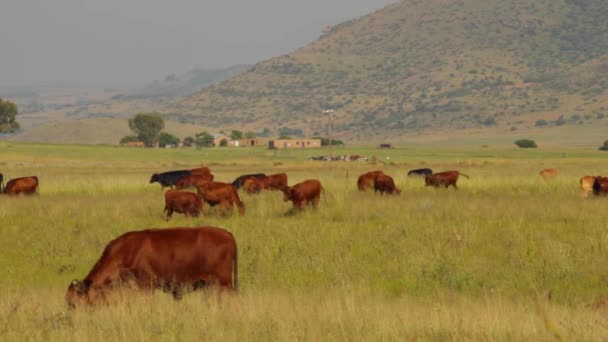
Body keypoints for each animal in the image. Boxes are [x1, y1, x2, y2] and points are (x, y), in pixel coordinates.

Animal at [66, 227, 238, 308]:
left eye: (74, 303)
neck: (127, 251)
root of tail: (227, 234)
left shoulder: (146, 285)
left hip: (225, 283)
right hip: (212, 285)